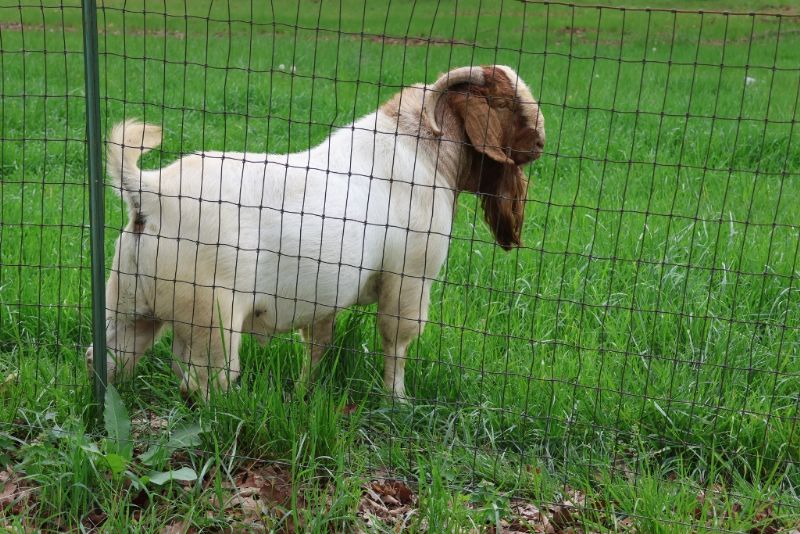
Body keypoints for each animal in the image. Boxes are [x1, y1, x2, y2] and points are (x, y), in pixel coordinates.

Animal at [87, 65, 548, 402]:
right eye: (504, 103)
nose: (542, 141)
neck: (421, 149)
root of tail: (150, 192)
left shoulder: (323, 299)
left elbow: (318, 346)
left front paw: (305, 394)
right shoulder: (409, 280)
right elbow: (396, 343)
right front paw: (397, 402)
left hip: (129, 309)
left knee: (106, 358)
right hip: (212, 321)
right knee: (203, 383)